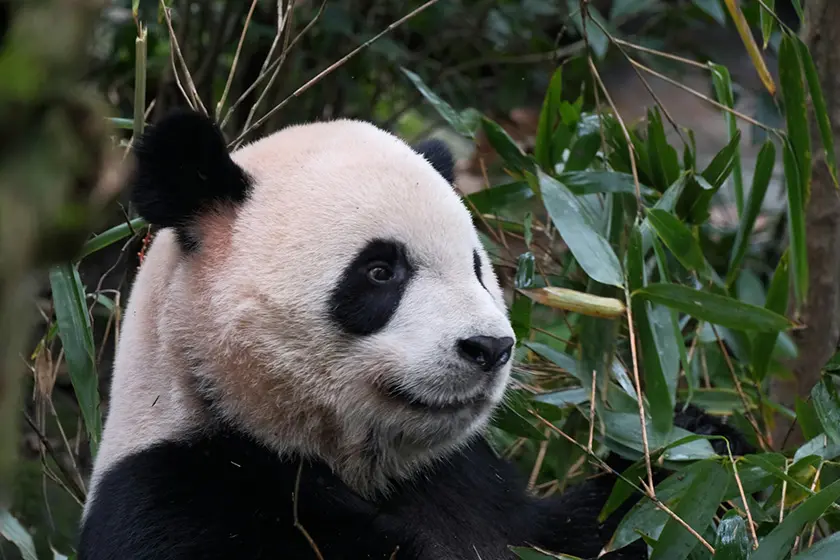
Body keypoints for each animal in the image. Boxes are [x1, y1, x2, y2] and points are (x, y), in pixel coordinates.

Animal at [77, 109, 753, 560]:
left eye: (476, 267)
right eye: (380, 271)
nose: (489, 349)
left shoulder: (470, 482)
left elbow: (598, 528)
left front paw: (703, 444)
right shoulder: (184, 498)